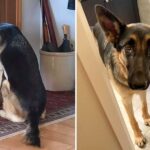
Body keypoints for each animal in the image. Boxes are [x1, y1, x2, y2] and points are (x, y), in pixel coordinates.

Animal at [93, 4, 150, 148]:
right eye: (128, 49)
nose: (139, 85)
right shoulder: (126, 101)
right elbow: (132, 120)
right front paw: (138, 136)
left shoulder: (143, 92)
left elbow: (144, 105)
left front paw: (146, 118)